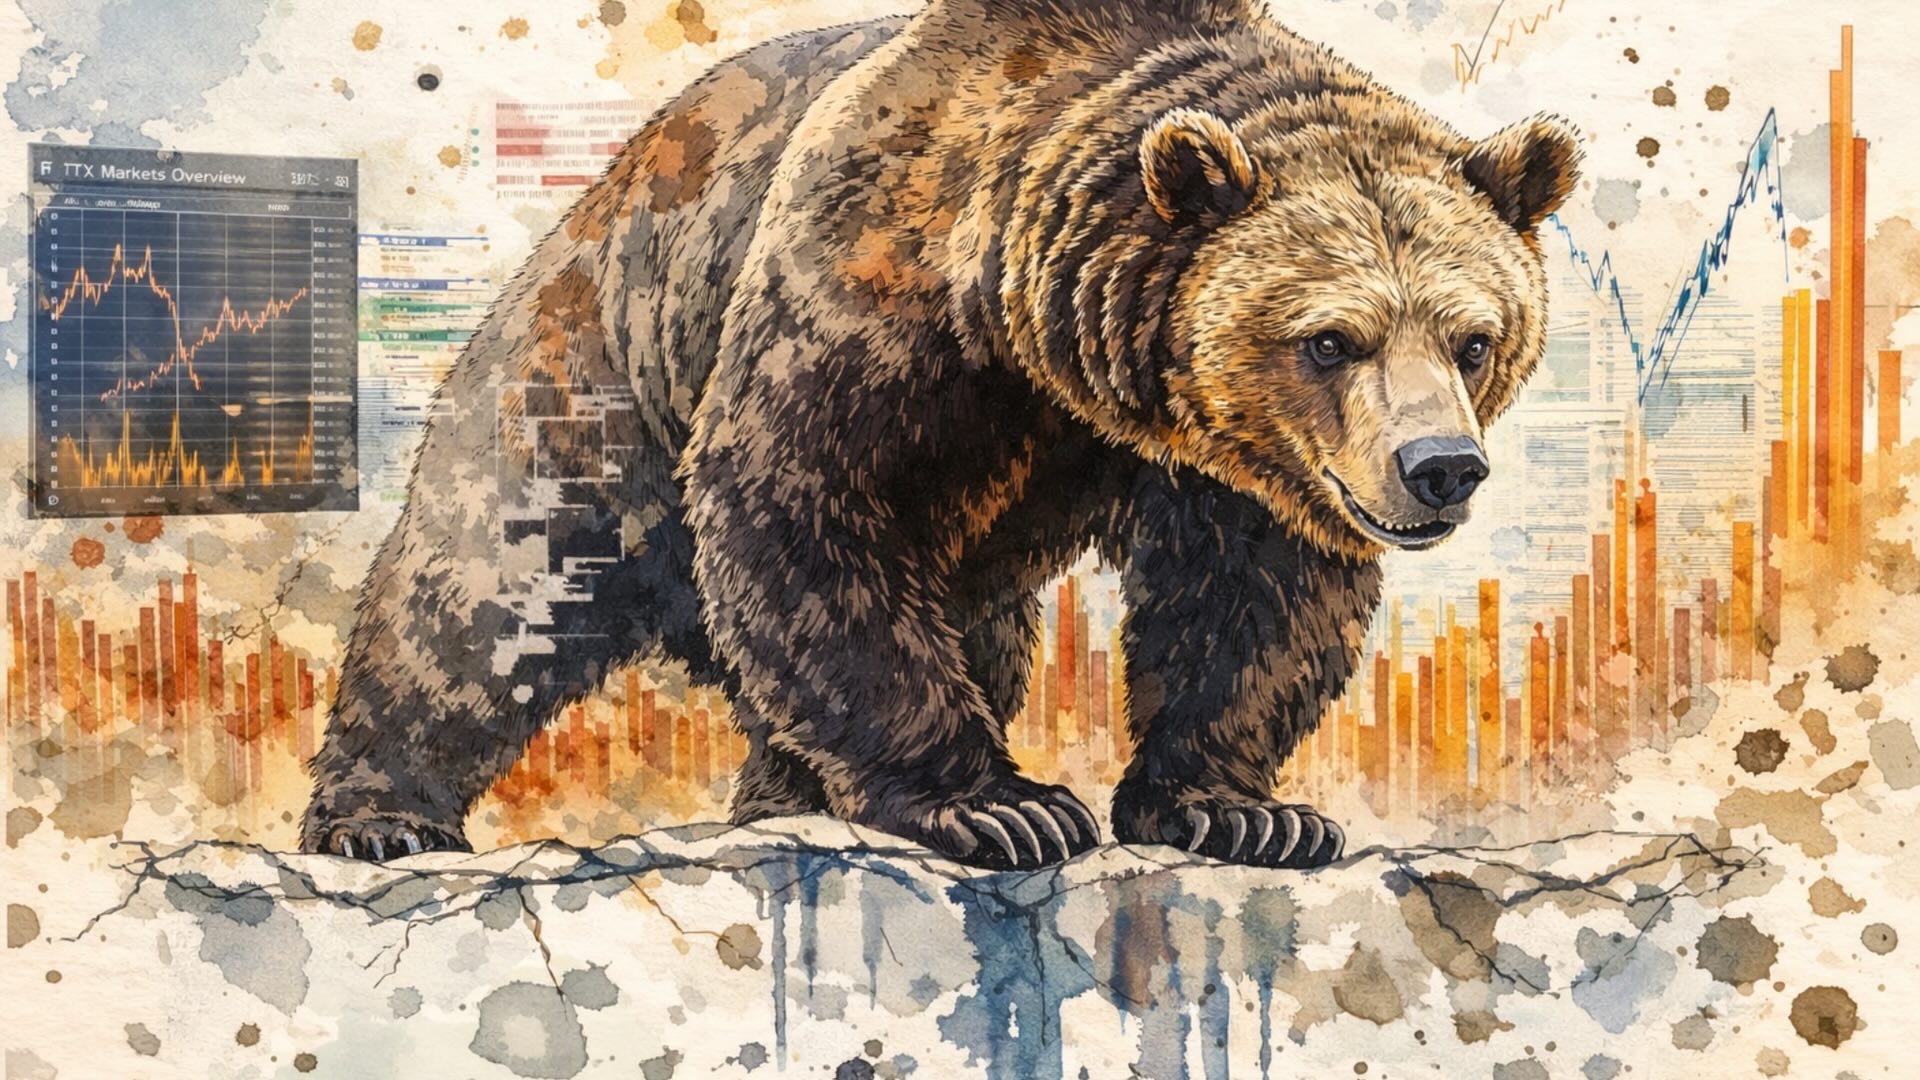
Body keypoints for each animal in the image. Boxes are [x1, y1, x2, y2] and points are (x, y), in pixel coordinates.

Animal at [301, 0, 1577, 870]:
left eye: (1473, 338)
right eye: (1330, 339)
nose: (1440, 469)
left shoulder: (1223, 459)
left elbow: (1254, 592)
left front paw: (1242, 810)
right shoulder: (883, 293)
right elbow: (805, 499)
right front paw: (1003, 806)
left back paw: (783, 798)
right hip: (596, 362)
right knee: (486, 588)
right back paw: (380, 819)